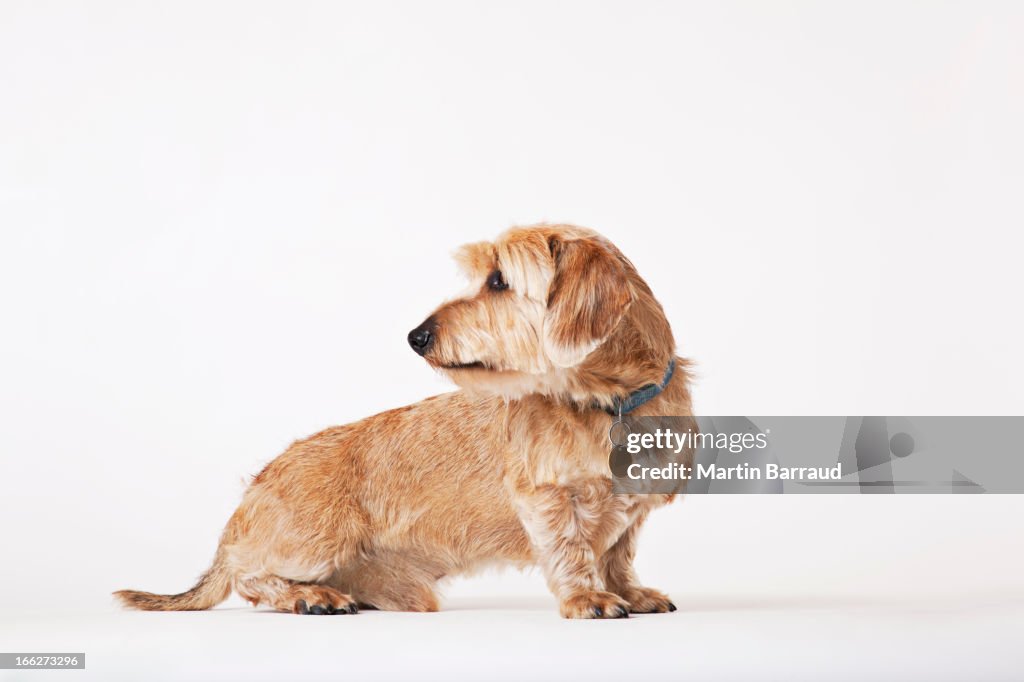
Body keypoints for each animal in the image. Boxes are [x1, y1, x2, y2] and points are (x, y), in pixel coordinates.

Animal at [117, 223, 696, 614]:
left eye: (499, 280)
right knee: (248, 576)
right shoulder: (544, 498)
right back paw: (310, 596)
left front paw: (627, 591)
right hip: (316, 540)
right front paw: (586, 597)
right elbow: (571, 548)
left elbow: (617, 552)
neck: (608, 403)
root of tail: (249, 497)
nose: (417, 336)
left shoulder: (632, 512)